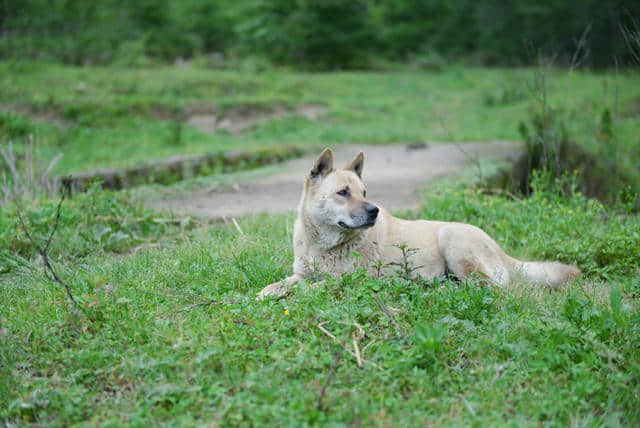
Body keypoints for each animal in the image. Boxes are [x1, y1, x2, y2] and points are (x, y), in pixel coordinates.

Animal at [255, 149, 580, 300]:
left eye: (364, 193)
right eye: (343, 193)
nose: (373, 211)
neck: (322, 246)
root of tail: (500, 250)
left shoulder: (343, 281)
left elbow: (309, 288)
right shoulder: (301, 272)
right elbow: (283, 283)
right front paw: (264, 292)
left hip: (453, 239)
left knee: (486, 288)